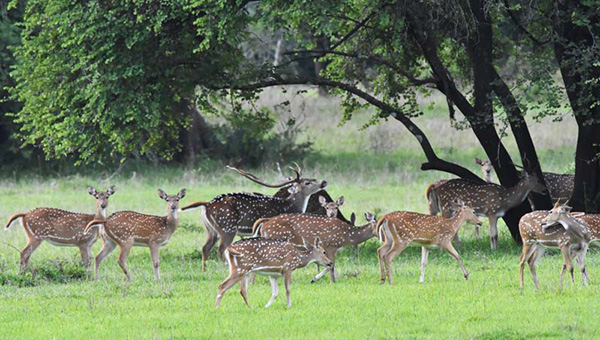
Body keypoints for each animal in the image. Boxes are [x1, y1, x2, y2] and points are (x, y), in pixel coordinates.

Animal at [179, 165, 326, 270]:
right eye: (307, 182)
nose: (324, 181)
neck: (289, 207)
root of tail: (207, 204)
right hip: (227, 227)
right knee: (221, 249)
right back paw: (226, 267)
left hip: (210, 229)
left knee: (205, 248)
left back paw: (205, 269)